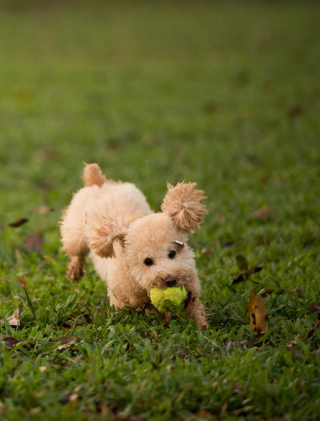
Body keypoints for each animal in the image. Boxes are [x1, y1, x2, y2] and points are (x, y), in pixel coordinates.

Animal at [60, 164, 208, 328]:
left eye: (172, 253)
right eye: (147, 261)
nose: (170, 280)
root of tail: (99, 182)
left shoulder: (190, 288)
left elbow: (194, 308)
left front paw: (202, 327)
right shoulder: (121, 299)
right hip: (75, 232)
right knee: (76, 251)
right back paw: (75, 270)